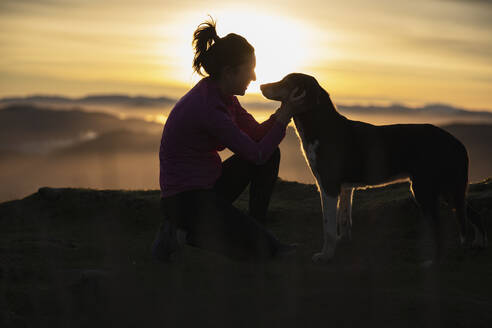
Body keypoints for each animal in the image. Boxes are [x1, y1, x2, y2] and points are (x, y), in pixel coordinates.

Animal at [262, 72, 488, 264]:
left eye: (286, 82)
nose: (262, 85)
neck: (321, 125)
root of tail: (455, 142)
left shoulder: (328, 186)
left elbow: (328, 226)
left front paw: (326, 255)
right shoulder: (345, 188)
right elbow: (344, 220)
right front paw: (343, 243)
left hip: (425, 189)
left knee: (441, 226)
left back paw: (434, 261)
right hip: (449, 189)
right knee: (473, 215)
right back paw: (478, 244)